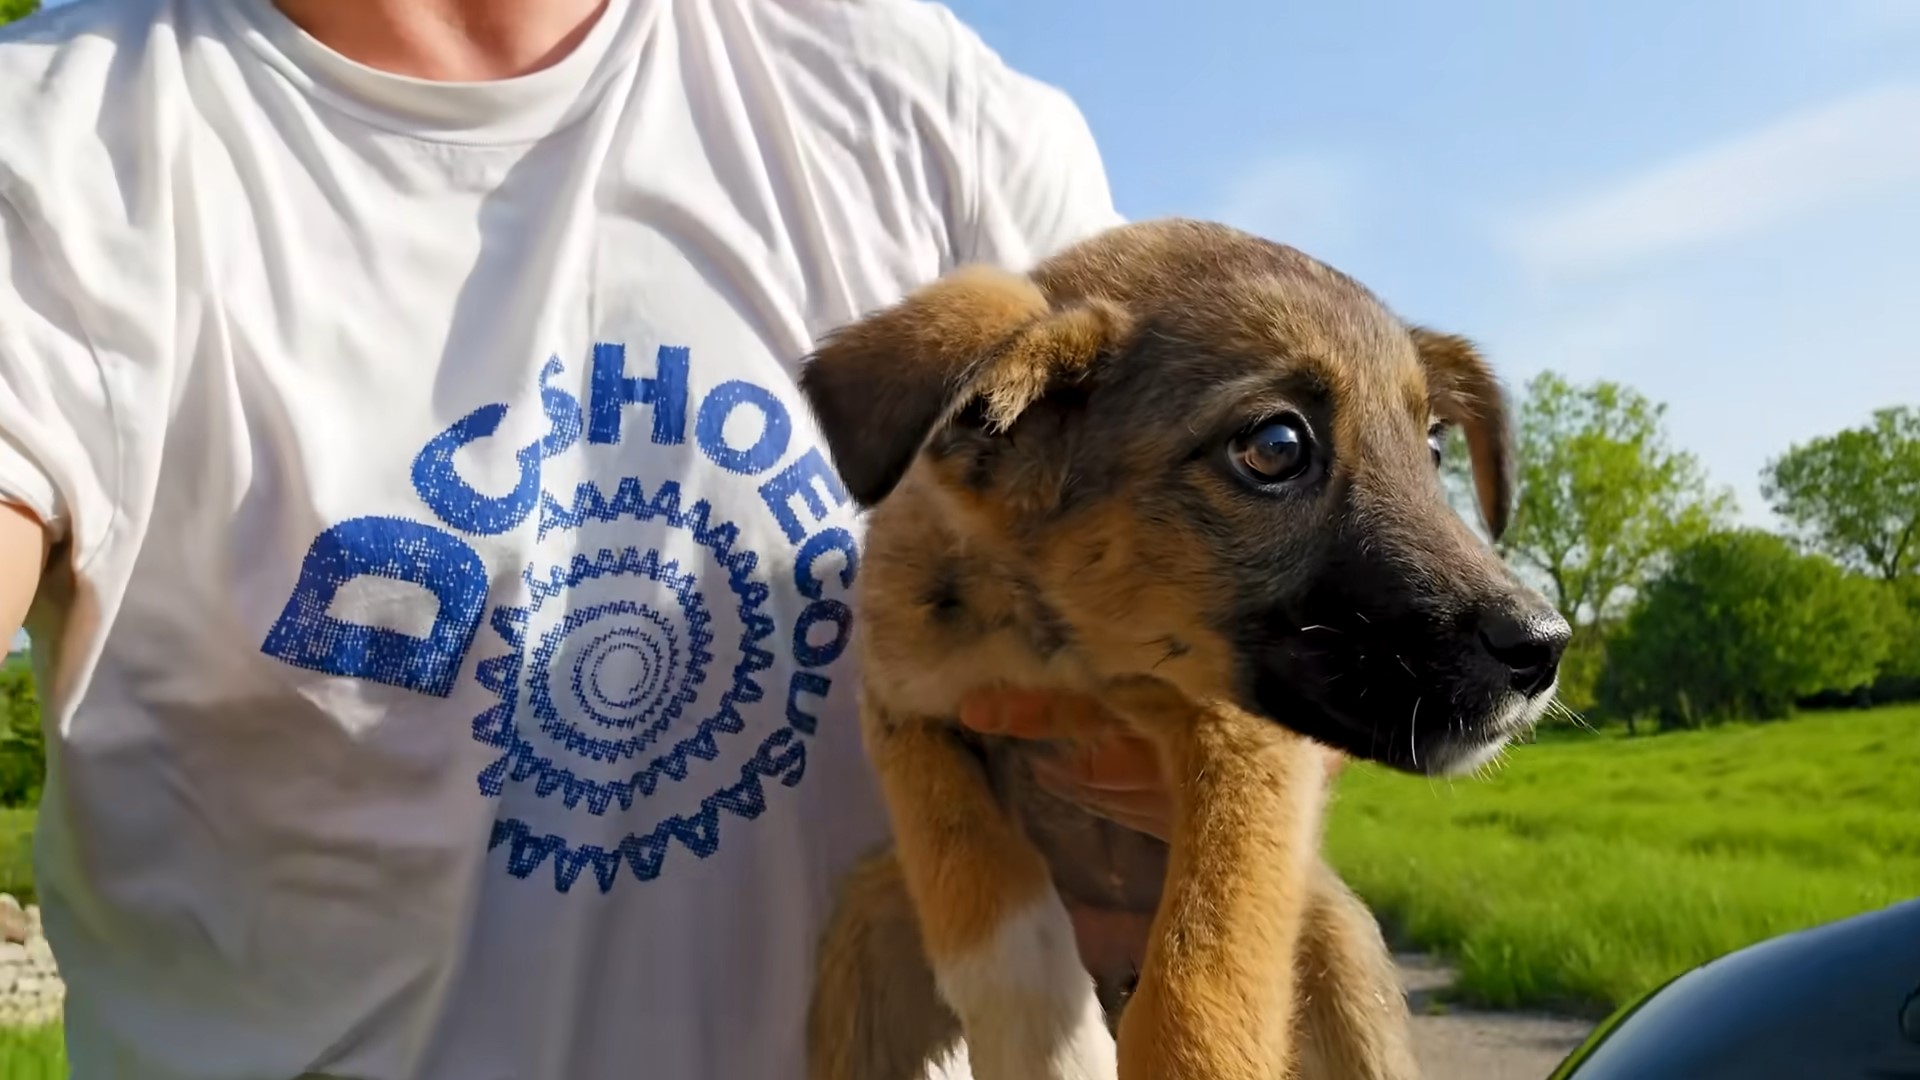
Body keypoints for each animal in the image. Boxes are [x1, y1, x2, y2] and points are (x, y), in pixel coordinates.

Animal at [802, 219, 1566, 1076]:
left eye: (1432, 449)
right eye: (1275, 445)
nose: (1544, 648)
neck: (1060, 647)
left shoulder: (1245, 741)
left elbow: (1201, 983)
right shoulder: (907, 715)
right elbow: (988, 916)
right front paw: (1054, 1051)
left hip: (1337, 948)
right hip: (868, 922)